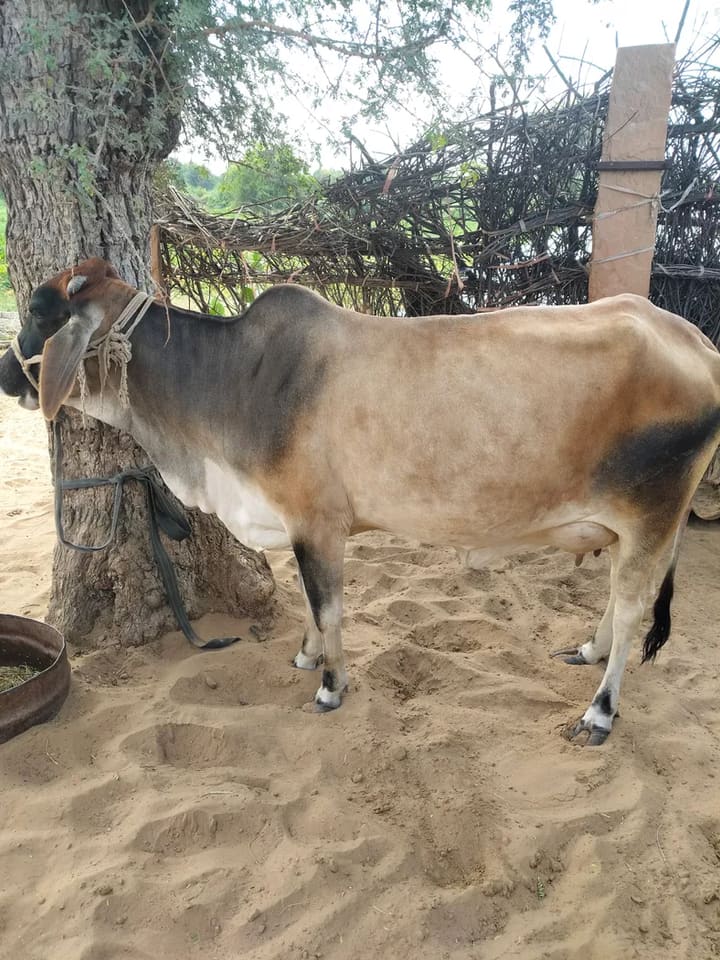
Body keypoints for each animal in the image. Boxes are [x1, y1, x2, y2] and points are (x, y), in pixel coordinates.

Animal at [2, 258, 719, 745]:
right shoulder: (297, 525)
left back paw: (599, 709)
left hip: (653, 514)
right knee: (618, 602)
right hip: (630, 524)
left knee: (634, 609)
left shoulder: (318, 522)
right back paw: (589, 650)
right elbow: (311, 602)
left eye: (39, 313)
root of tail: (696, 340)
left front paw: (329, 685)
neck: (234, 384)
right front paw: (306, 655)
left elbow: (329, 606)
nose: (8, 372)